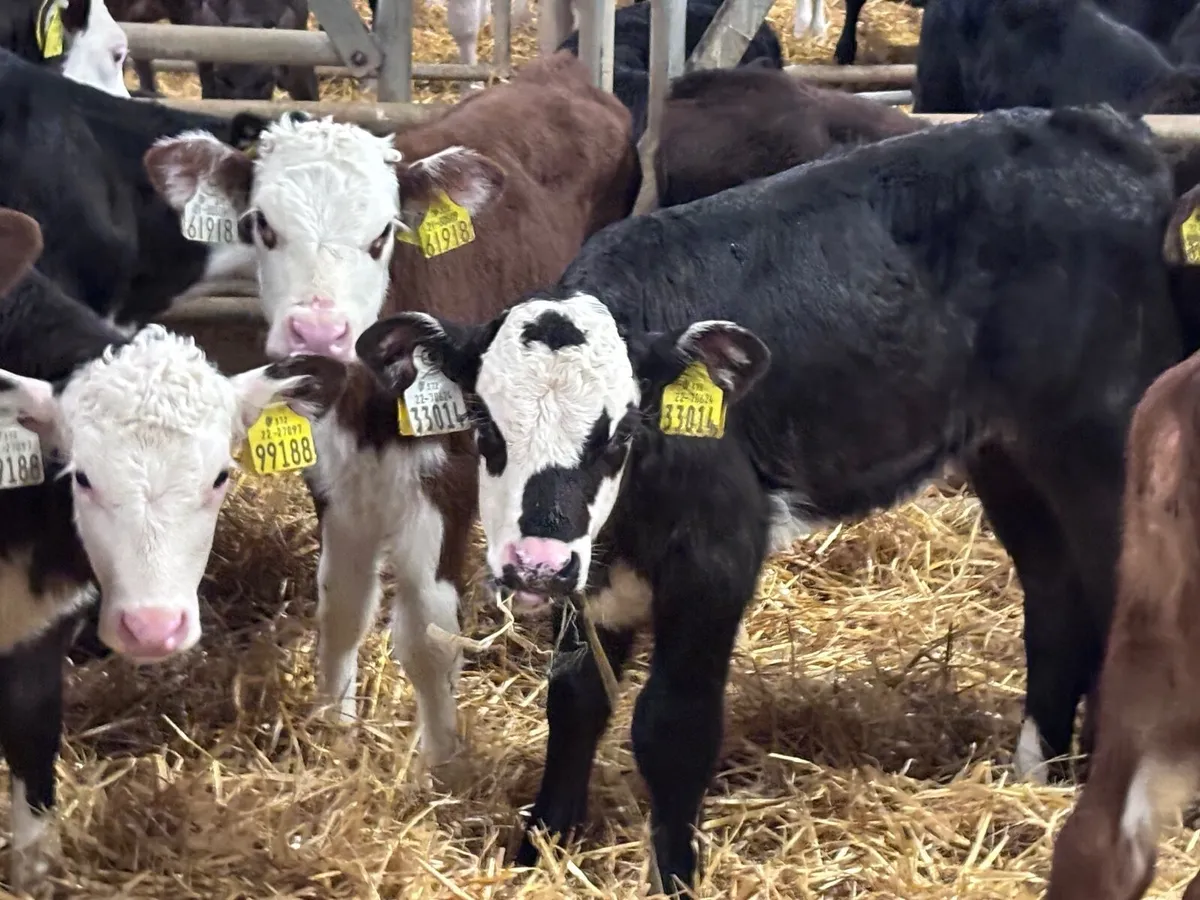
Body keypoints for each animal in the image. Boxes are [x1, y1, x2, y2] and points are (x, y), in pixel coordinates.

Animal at [140, 51, 640, 772]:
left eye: (383, 235)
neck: (371, 397)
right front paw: (333, 725)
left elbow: (428, 631)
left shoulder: (450, 477)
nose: (318, 332)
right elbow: (341, 605)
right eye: (262, 226)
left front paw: (442, 760)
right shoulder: (334, 475)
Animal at [350, 104, 1195, 891]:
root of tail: (1113, 132)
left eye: (620, 432)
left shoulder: (718, 554)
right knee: (1057, 602)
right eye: (485, 422)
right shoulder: (593, 581)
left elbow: (673, 725)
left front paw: (675, 876)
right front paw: (538, 850)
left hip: (1102, 445)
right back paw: (1033, 777)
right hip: (1007, 455)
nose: (535, 563)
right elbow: (575, 703)